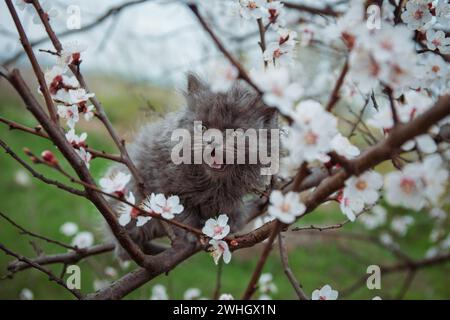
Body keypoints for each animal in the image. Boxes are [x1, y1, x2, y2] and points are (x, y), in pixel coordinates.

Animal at [105, 74, 276, 258]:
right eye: (203, 127)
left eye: (234, 132)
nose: (212, 141)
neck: (213, 183)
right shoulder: (162, 179)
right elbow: (182, 212)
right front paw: (193, 231)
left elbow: (228, 206)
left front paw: (232, 220)